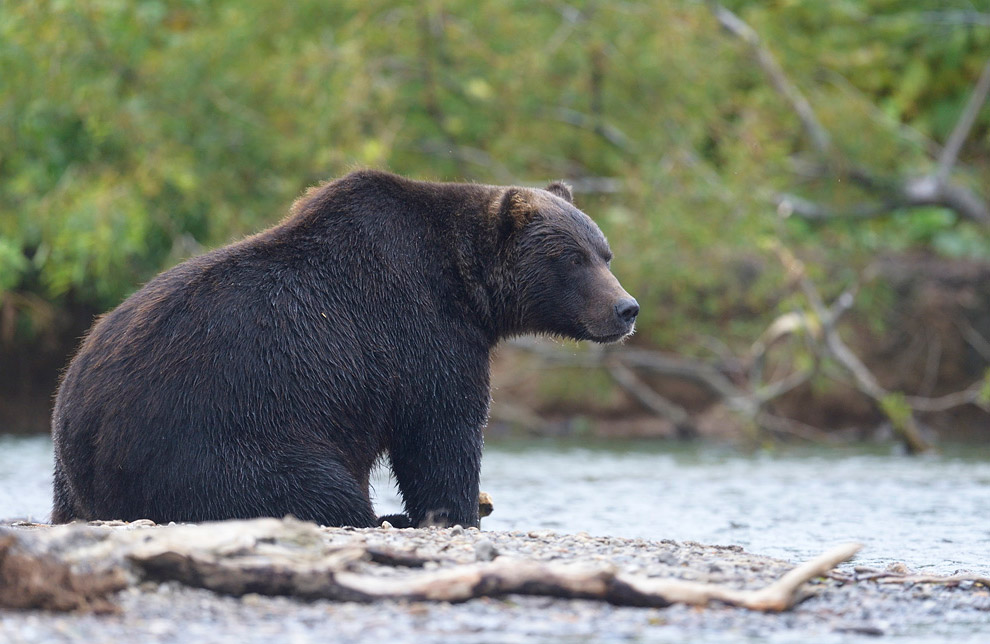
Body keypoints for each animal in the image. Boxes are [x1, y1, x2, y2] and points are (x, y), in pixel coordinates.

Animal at [50, 171, 640, 528]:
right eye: (572, 258)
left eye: (604, 252)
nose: (626, 308)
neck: (468, 288)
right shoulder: (425, 333)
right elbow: (442, 432)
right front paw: (460, 509)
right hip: (219, 437)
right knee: (316, 489)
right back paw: (376, 515)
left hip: (73, 454)